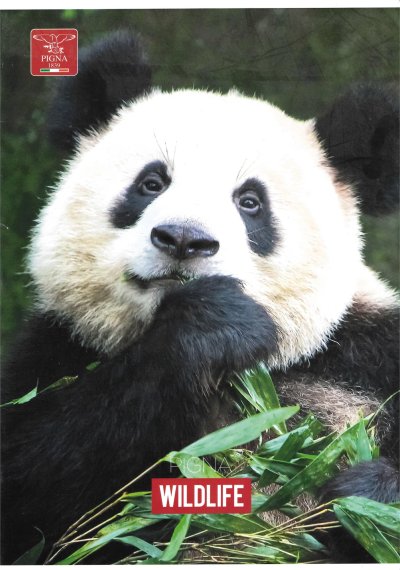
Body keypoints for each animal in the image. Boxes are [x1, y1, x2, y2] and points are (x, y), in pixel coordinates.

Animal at [2, 31, 399, 564]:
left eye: (250, 202)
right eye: (151, 183)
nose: (184, 239)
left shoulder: (368, 354)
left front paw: (366, 501)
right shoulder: (56, 349)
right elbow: (30, 482)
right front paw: (212, 325)